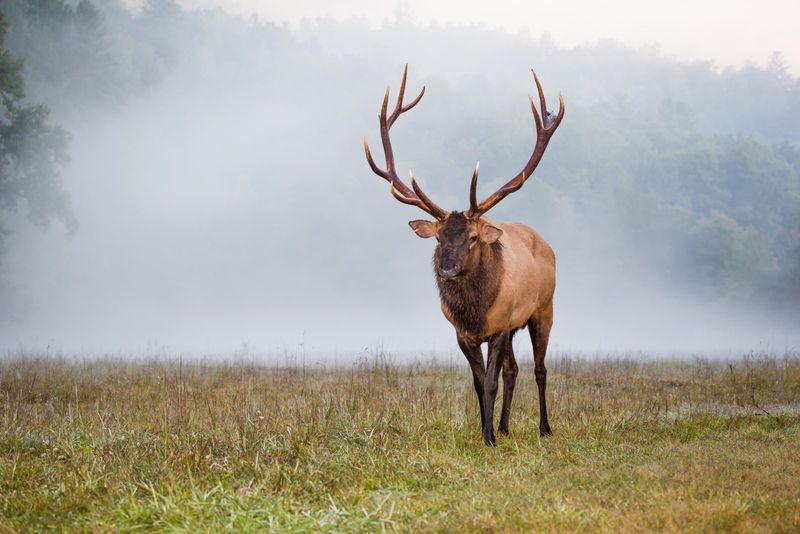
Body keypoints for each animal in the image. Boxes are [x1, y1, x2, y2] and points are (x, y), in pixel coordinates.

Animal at [364, 65, 565, 445]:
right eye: (439, 237)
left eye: (472, 237)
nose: (447, 268)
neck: (475, 312)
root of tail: (545, 242)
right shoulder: (463, 333)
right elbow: (478, 383)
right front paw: (487, 430)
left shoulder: (499, 327)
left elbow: (490, 382)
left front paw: (488, 437)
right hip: (516, 324)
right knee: (514, 370)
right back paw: (505, 426)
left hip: (543, 308)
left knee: (540, 368)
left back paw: (545, 428)